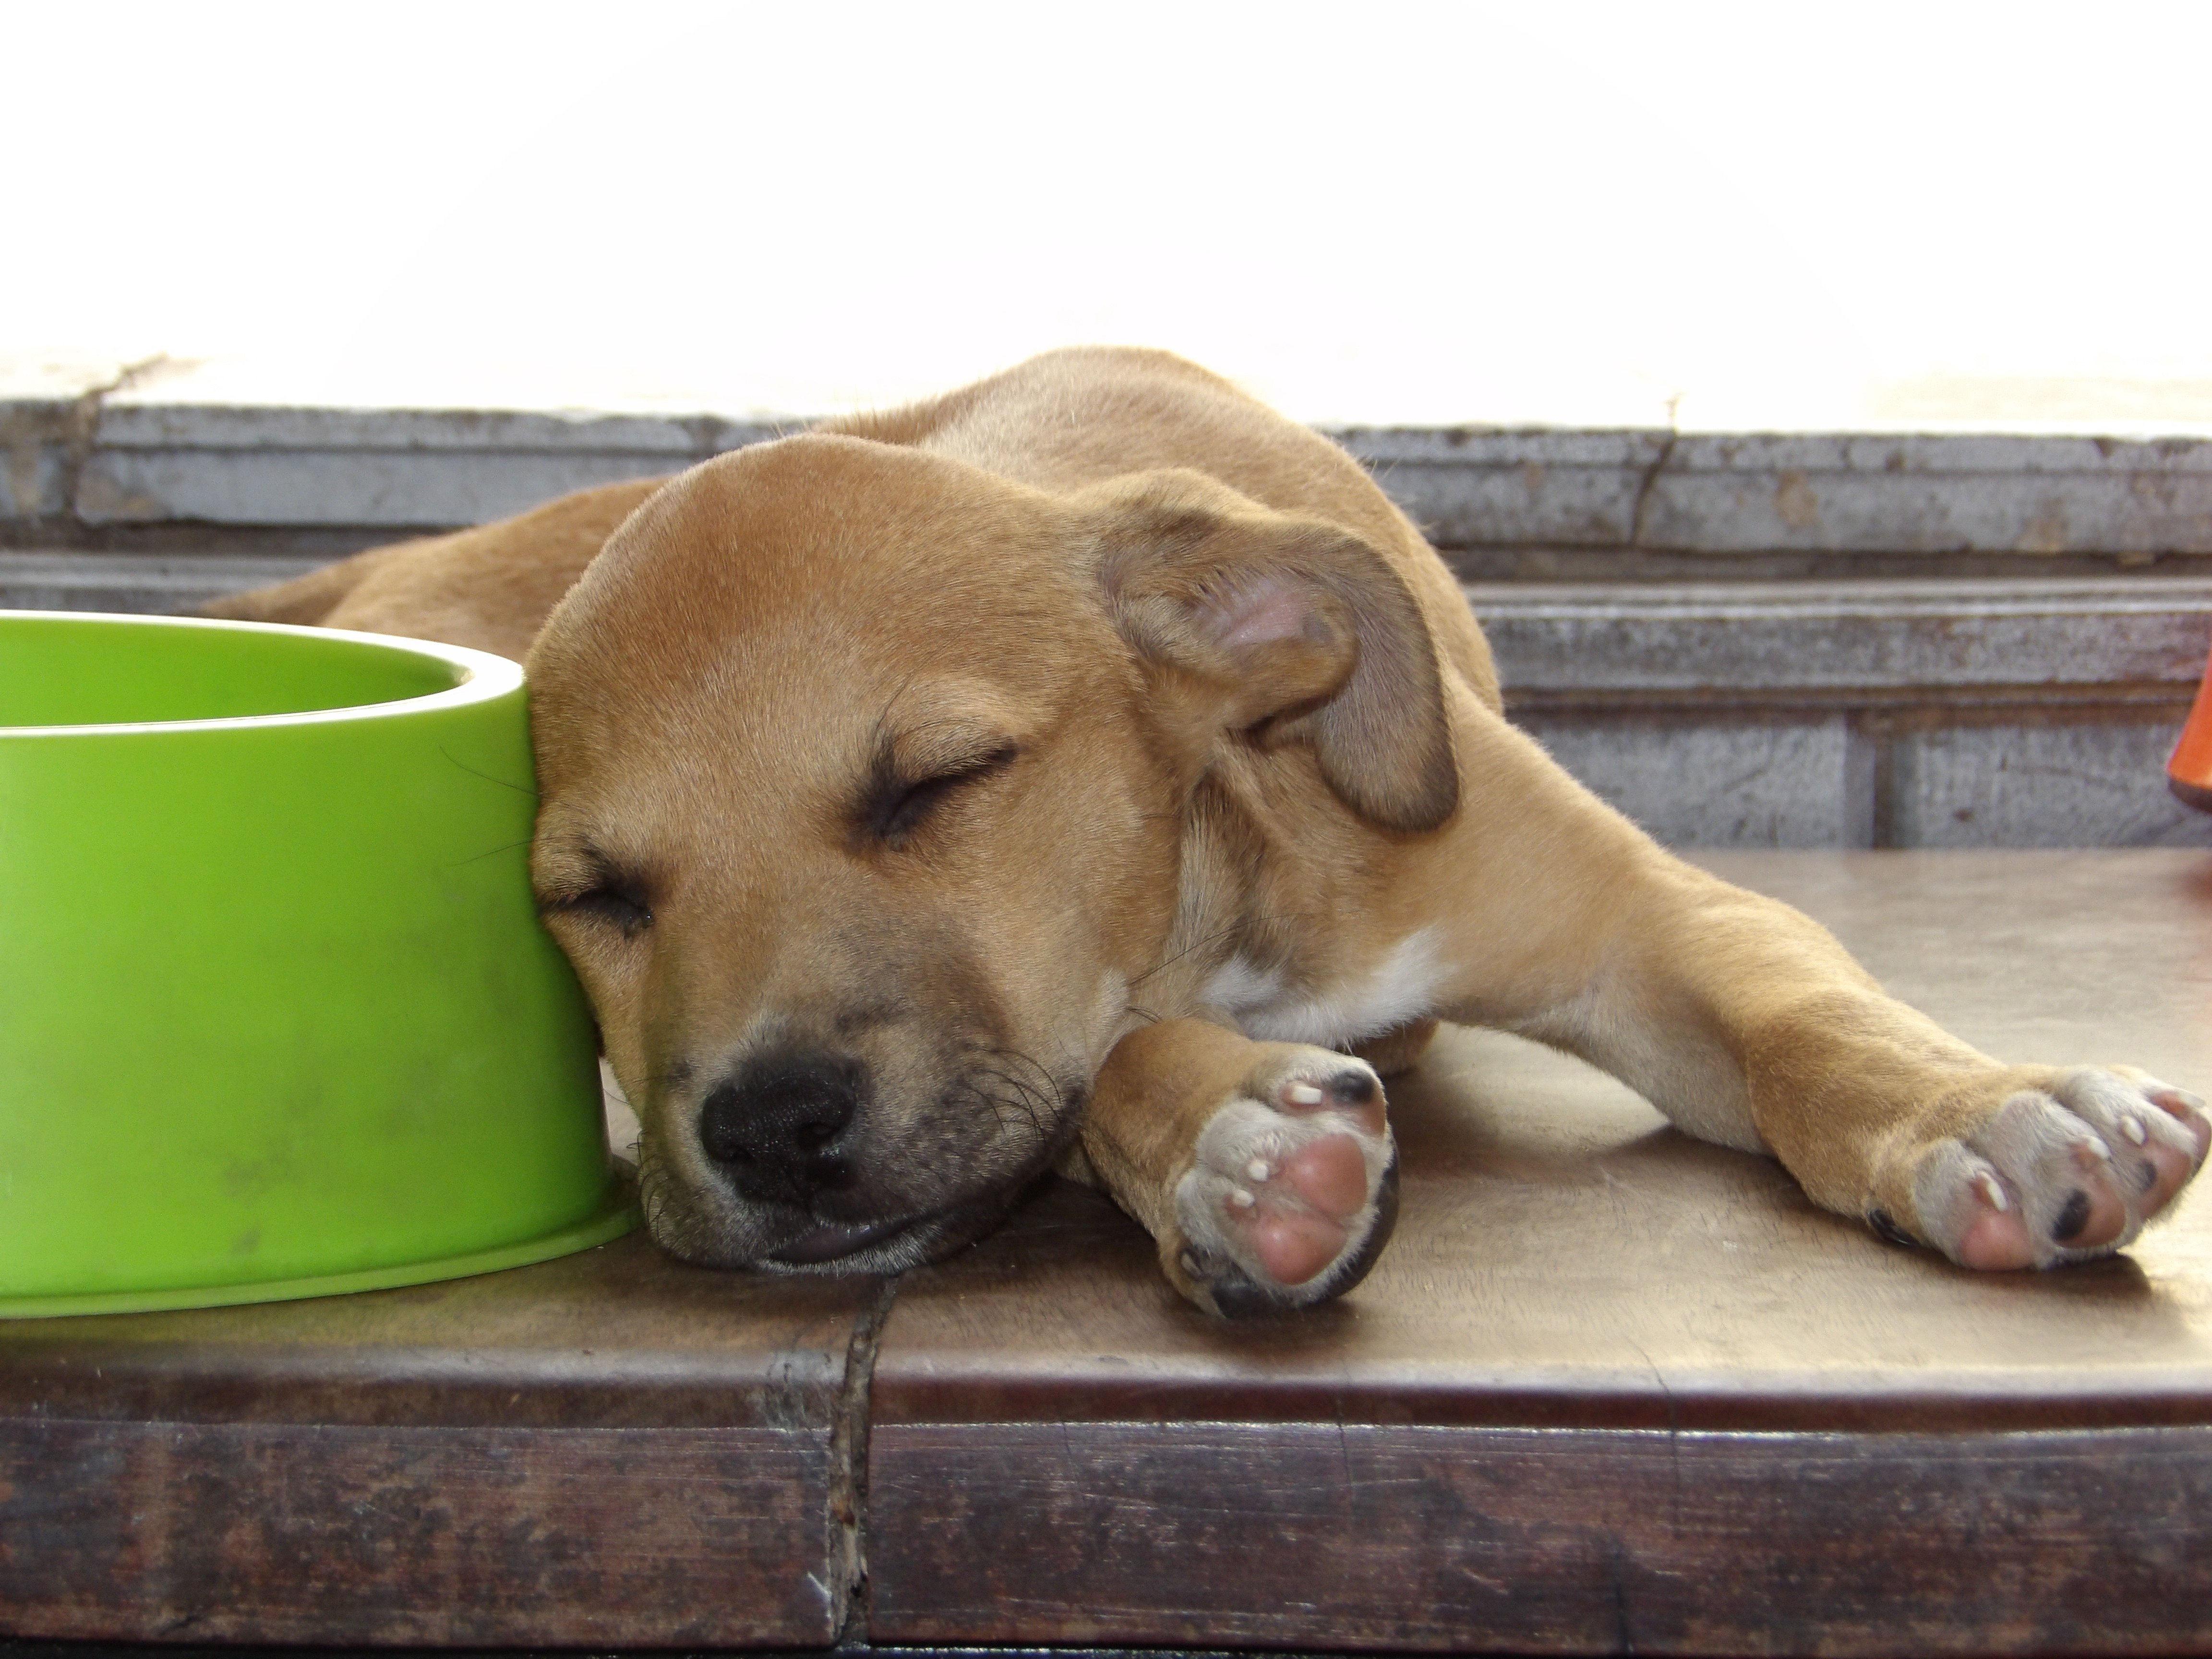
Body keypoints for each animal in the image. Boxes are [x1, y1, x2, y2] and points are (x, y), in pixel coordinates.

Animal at [207, 347, 2209, 1314]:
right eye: (592, 895)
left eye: (935, 783)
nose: (764, 1130)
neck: (1236, 867)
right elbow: (1105, 1062)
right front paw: (1235, 1156)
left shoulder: (1638, 919)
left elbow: (1806, 1019)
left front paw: (1978, 1110)